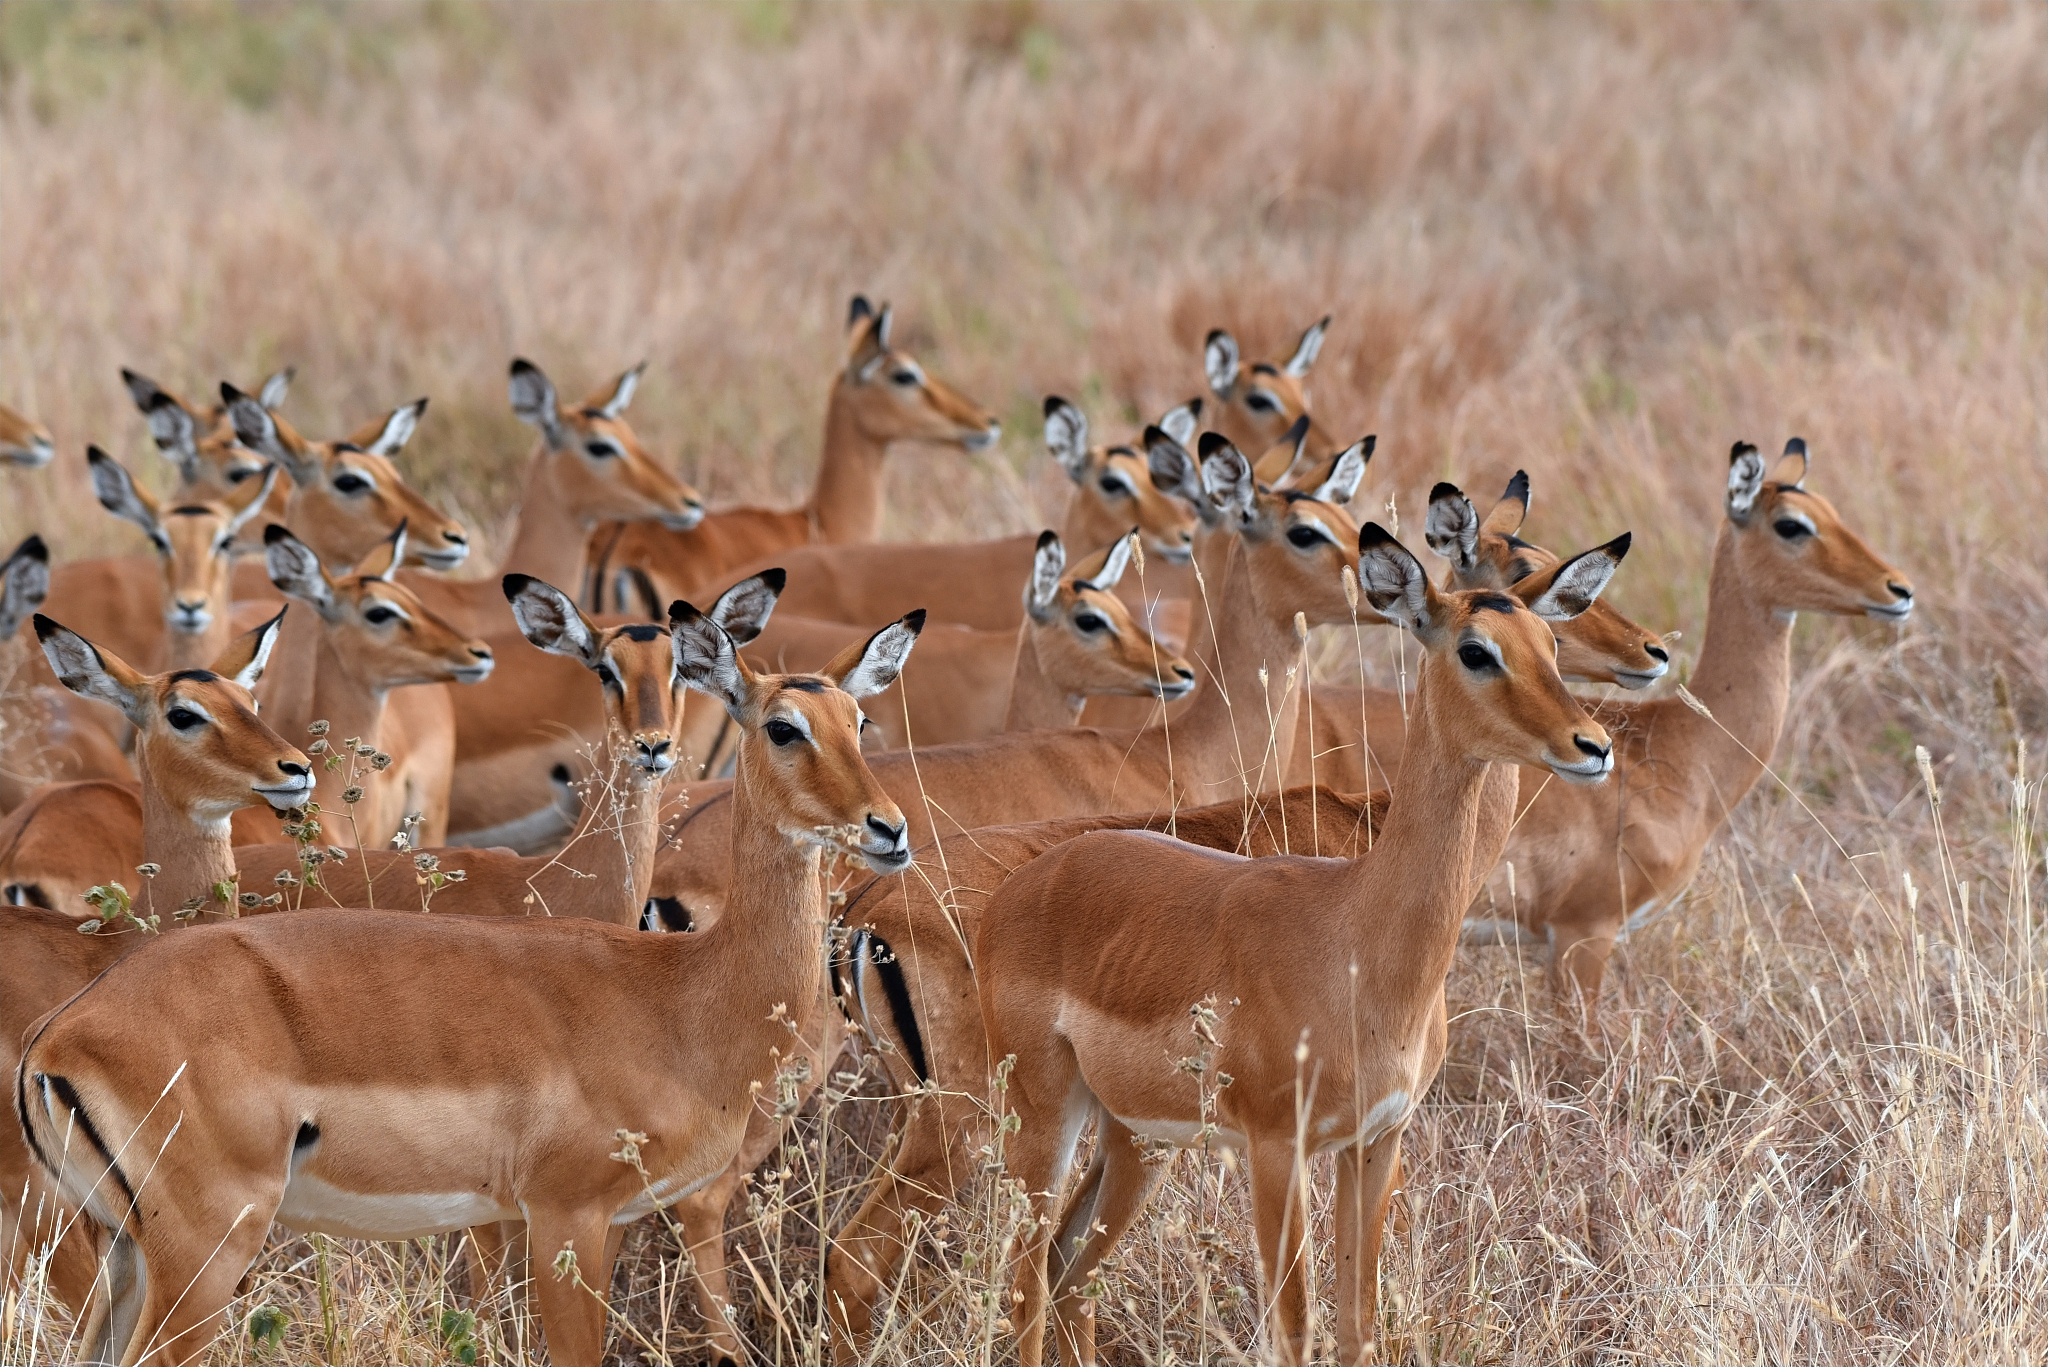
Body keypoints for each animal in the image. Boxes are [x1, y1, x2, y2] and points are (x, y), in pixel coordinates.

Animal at [820, 525, 1635, 1354]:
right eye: (1476, 649)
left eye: (1548, 640)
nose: (1594, 743)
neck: (1360, 927)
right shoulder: (1278, 1147)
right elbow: (1293, 1330)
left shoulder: (1377, 1141)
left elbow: (1358, 1324)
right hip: (1018, 1120)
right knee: (998, 1276)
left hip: (1131, 1136)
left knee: (1064, 1267)